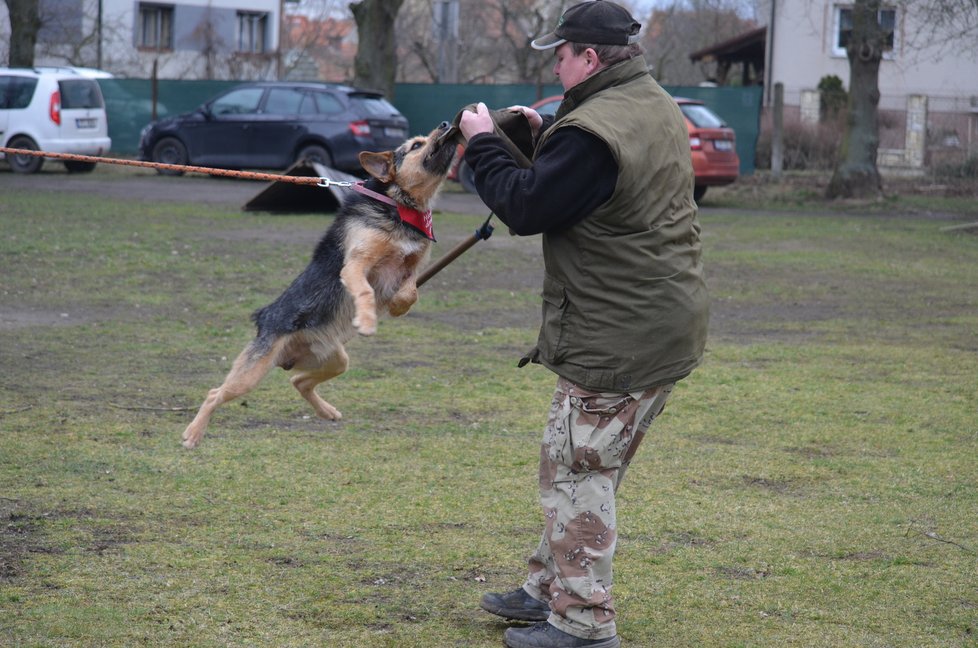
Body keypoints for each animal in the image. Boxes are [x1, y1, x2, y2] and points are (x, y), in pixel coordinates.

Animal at [181, 121, 456, 448]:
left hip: (336, 359)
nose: (446, 123)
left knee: (298, 381)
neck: (398, 204)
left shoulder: (411, 267)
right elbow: (365, 289)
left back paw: (327, 411)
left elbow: (411, 291)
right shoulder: (355, 266)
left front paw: (398, 305)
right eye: (416, 145)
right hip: (252, 373)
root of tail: (265, 318)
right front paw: (366, 321)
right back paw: (193, 434)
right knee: (216, 393)